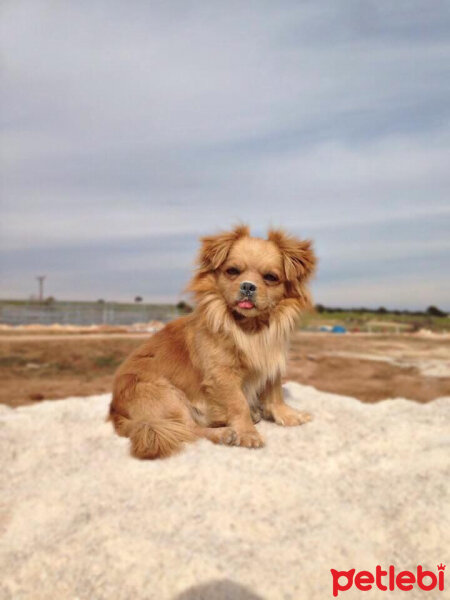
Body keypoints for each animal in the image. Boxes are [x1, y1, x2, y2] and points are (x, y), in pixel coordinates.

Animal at [108, 226, 316, 460]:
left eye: (270, 278)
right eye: (232, 271)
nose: (248, 286)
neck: (250, 328)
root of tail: (115, 412)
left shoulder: (271, 364)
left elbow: (274, 393)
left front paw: (287, 415)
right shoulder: (222, 375)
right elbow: (238, 403)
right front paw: (247, 433)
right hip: (166, 395)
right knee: (187, 429)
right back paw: (224, 433)